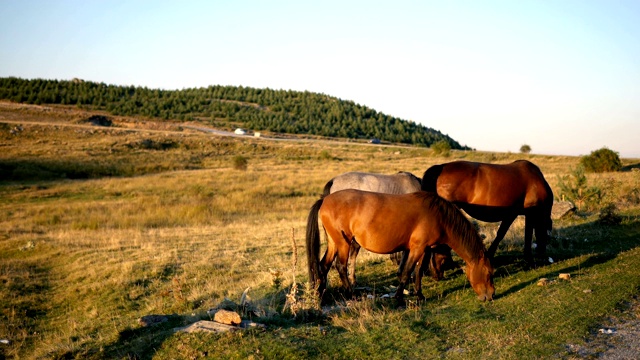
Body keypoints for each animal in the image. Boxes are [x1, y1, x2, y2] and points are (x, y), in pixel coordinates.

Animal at [304, 188, 496, 304]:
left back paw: (321, 293)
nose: (491, 295)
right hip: (343, 243)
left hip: (333, 243)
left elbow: (418, 272)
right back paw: (351, 293)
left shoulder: (425, 250)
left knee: (323, 266)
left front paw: (419, 295)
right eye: (489, 273)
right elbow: (406, 272)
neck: (439, 216)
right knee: (341, 267)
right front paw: (397, 298)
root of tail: (325, 200)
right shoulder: (417, 248)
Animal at [422, 160, 552, 262]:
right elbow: (524, 235)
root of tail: (441, 167)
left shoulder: (511, 214)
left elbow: (501, 234)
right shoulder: (526, 214)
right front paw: (528, 258)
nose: (542, 253)